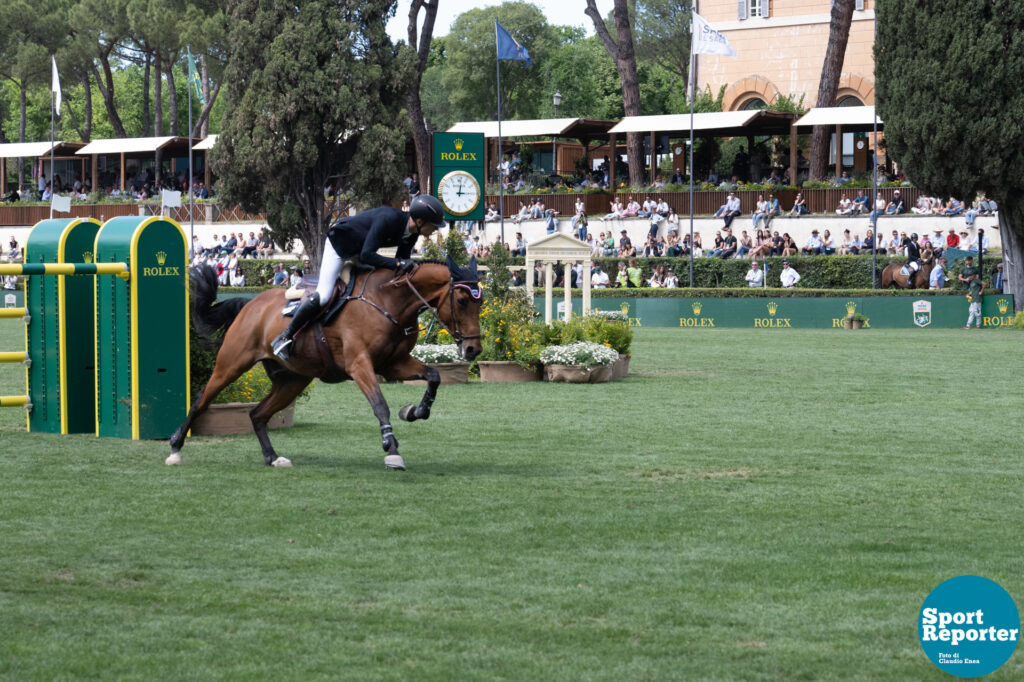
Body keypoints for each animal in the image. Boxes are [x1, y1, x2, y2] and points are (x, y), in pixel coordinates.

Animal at [167, 258, 483, 471]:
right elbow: (380, 405)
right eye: (462, 300)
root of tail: (250, 304)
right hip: (232, 364)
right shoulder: (360, 365)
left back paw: (272, 457)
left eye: (481, 302)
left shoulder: (393, 364)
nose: (473, 349)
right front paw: (391, 450)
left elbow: (434, 376)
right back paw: (175, 448)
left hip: (293, 380)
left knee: (257, 414)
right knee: (202, 399)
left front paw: (414, 411)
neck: (388, 301)